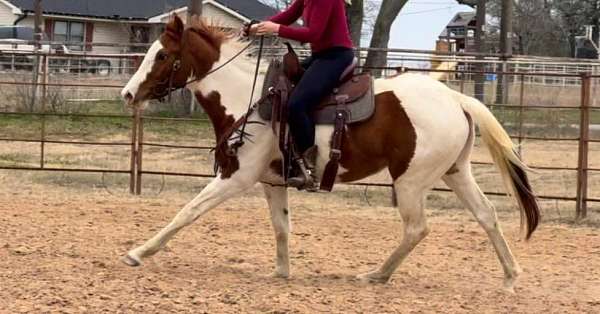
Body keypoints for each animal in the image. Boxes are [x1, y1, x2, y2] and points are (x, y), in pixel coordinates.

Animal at [120, 16, 540, 292]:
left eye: (161, 55)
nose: (127, 93)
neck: (250, 97)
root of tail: (456, 99)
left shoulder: (236, 176)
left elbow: (188, 211)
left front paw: (139, 252)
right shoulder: (272, 181)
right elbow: (281, 226)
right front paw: (282, 272)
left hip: (411, 180)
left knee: (417, 228)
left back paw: (377, 275)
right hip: (455, 172)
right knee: (486, 215)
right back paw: (510, 277)